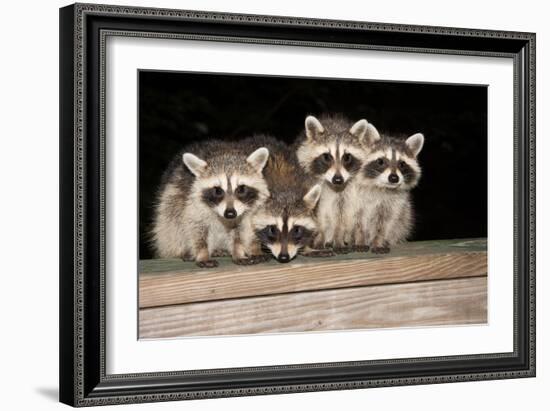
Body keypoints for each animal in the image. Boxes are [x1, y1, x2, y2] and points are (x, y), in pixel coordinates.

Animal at [151, 140, 272, 268]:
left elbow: (240, 232)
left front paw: (238, 251)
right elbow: (195, 228)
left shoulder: (245, 213)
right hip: (170, 203)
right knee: (172, 225)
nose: (230, 213)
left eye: (241, 189)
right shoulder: (192, 205)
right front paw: (202, 253)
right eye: (218, 190)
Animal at [249, 135, 332, 264]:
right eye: (272, 229)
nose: (283, 257)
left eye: (297, 230)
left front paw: (307, 247)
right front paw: (256, 249)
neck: (284, 188)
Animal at [294, 114, 370, 253]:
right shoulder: (312, 185)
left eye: (347, 157)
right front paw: (320, 237)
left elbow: (341, 215)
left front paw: (338, 237)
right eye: (326, 157)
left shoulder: (345, 192)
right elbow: (317, 213)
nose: (338, 179)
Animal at [356, 124, 430, 254]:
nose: (394, 178)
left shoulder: (392, 204)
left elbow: (385, 223)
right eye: (381, 161)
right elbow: (356, 221)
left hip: (404, 217)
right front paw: (359, 239)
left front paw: (378, 241)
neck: (381, 187)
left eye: (402, 164)